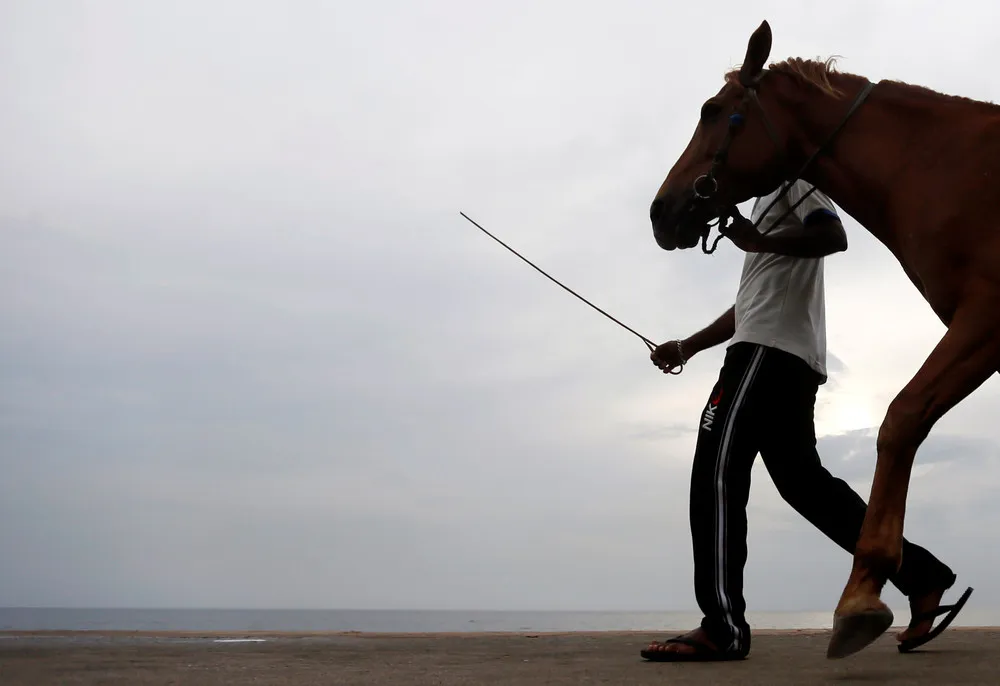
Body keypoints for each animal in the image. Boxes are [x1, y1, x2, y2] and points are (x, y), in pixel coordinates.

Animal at [648, 17, 1000, 660]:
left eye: (712, 110)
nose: (661, 211)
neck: (945, 166)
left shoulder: (987, 314)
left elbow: (901, 418)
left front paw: (860, 596)